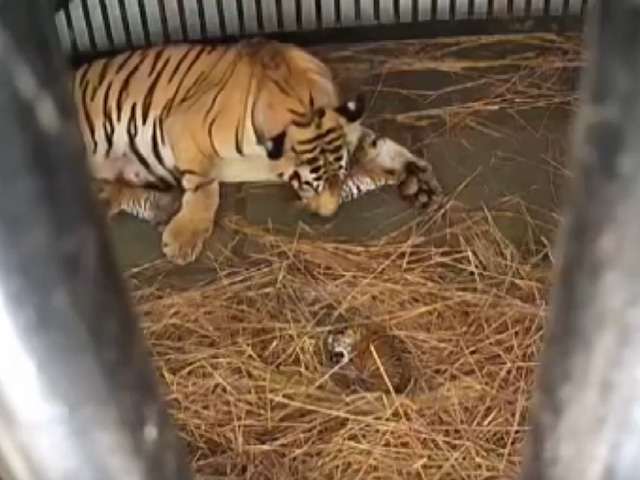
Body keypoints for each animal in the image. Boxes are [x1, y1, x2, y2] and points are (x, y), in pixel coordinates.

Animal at [73, 38, 440, 265]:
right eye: (308, 185)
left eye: (341, 177)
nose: (327, 215)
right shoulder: (183, 126)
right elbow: (205, 186)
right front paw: (184, 238)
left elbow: (378, 144)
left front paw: (417, 180)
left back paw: (161, 207)